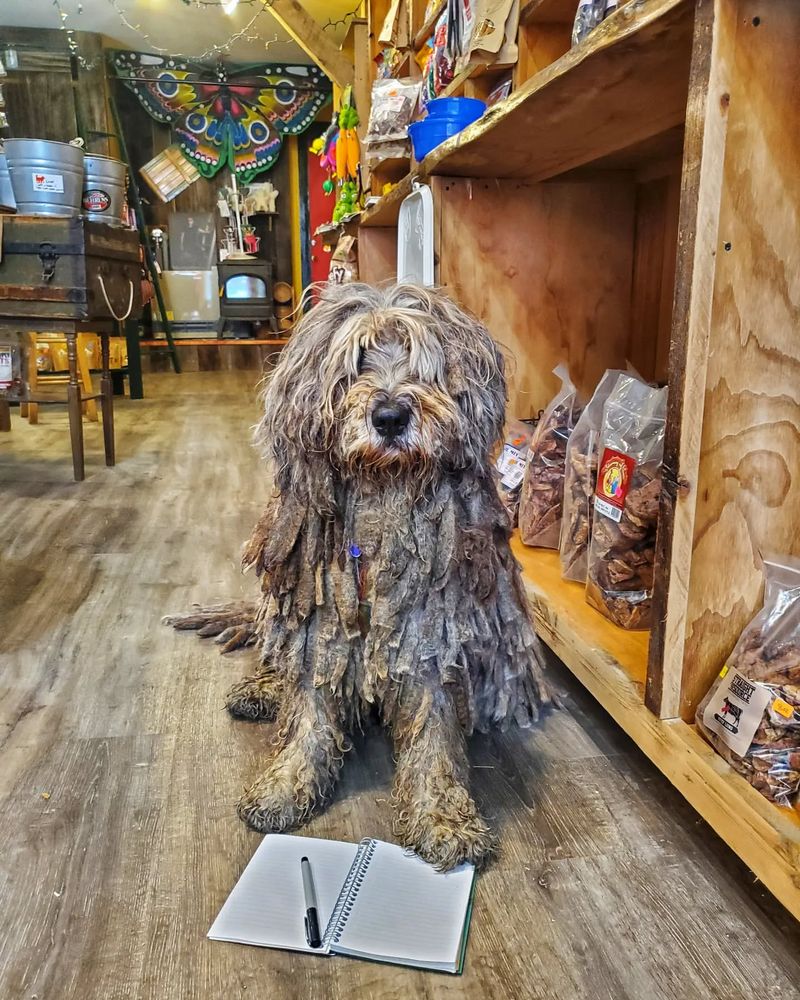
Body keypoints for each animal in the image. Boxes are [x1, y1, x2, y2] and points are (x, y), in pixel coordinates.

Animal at [166, 282, 552, 868]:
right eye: (356, 362)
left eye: (422, 363)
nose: (390, 415)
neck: (383, 491)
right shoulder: (320, 620)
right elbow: (308, 712)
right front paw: (286, 785)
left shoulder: (426, 637)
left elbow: (433, 733)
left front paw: (442, 816)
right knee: (278, 656)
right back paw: (263, 687)